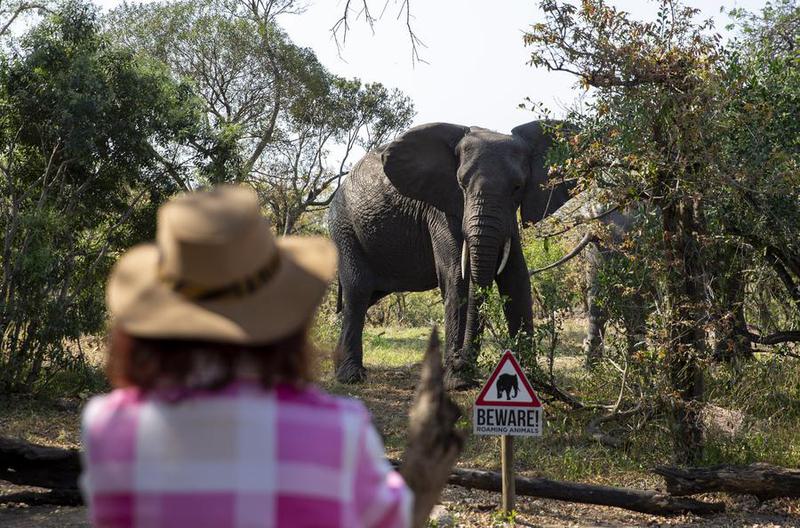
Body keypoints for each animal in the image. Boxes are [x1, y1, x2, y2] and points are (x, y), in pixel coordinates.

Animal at [328, 122, 572, 388]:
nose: (460, 361)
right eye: (462, 185)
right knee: (358, 290)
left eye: (517, 187)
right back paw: (350, 376)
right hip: (344, 228)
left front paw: (533, 380)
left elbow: (516, 278)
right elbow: (457, 275)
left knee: (367, 296)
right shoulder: (439, 209)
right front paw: (458, 382)